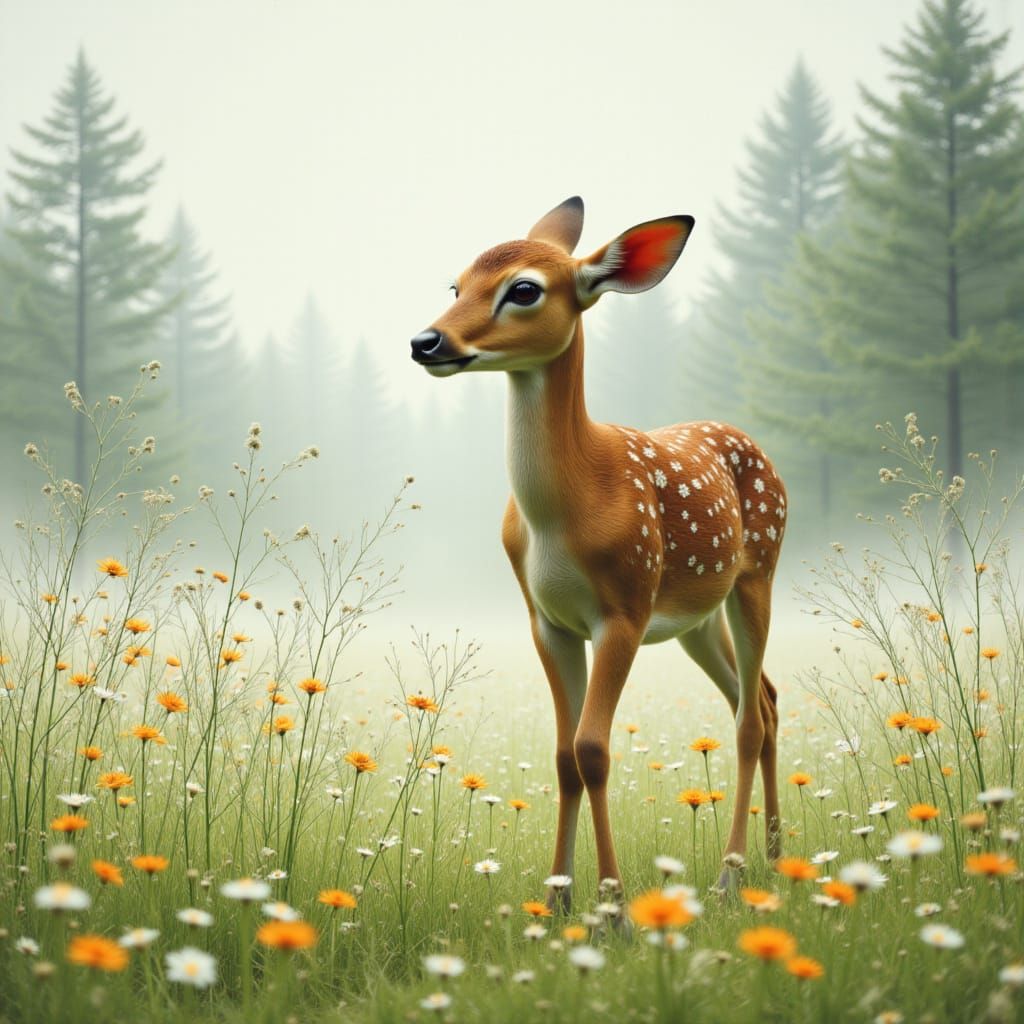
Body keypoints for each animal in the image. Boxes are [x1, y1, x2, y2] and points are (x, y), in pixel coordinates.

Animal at [410, 197, 785, 906]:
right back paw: (777, 856)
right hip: (697, 615)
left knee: (750, 719)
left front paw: (613, 903)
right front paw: (559, 895)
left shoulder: (625, 608)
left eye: (523, 289)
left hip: (759, 571)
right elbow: (563, 756)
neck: (563, 512)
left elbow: (593, 749)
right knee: (765, 702)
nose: (426, 342)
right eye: (456, 285)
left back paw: (731, 873)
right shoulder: (547, 619)